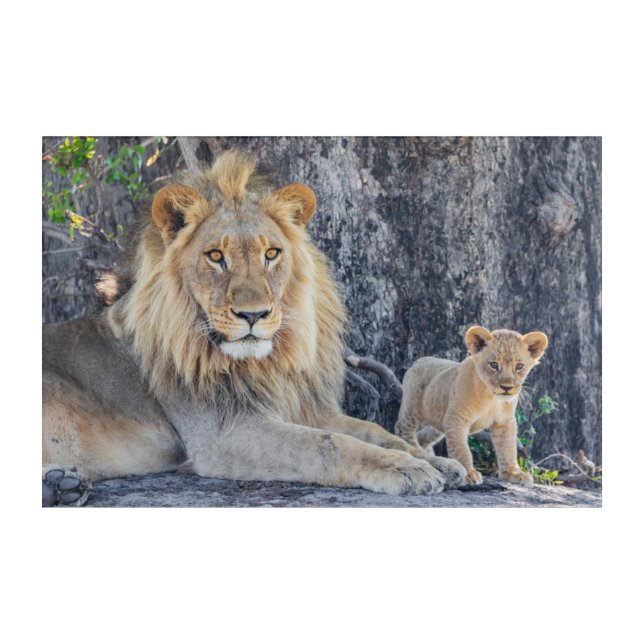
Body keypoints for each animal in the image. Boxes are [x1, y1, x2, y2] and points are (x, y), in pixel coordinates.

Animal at [43, 150, 467, 506]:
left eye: (271, 254)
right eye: (215, 256)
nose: (254, 315)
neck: (266, 365)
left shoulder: (303, 407)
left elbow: (371, 430)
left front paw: (437, 462)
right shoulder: (225, 434)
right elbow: (329, 445)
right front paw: (404, 468)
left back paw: (61, 485)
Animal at [394, 326, 548, 486]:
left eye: (519, 366)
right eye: (494, 365)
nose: (507, 387)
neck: (491, 398)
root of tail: (419, 360)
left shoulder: (504, 421)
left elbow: (508, 448)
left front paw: (513, 473)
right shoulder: (456, 419)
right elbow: (461, 449)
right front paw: (468, 473)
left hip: (438, 421)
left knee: (424, 436)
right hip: (412, 408)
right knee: (402, 429)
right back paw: (415, 449)